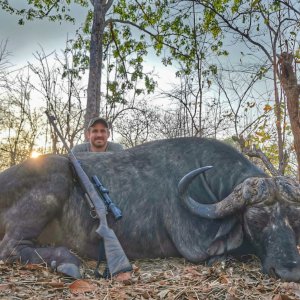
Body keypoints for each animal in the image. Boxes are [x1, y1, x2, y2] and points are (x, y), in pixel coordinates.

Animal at [0, 138, 300, 282]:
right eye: (257, 220)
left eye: (293, 222)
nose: (289, 271)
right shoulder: (195, 246)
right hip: (55, 183)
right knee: (10, 248)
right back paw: (68, 262)